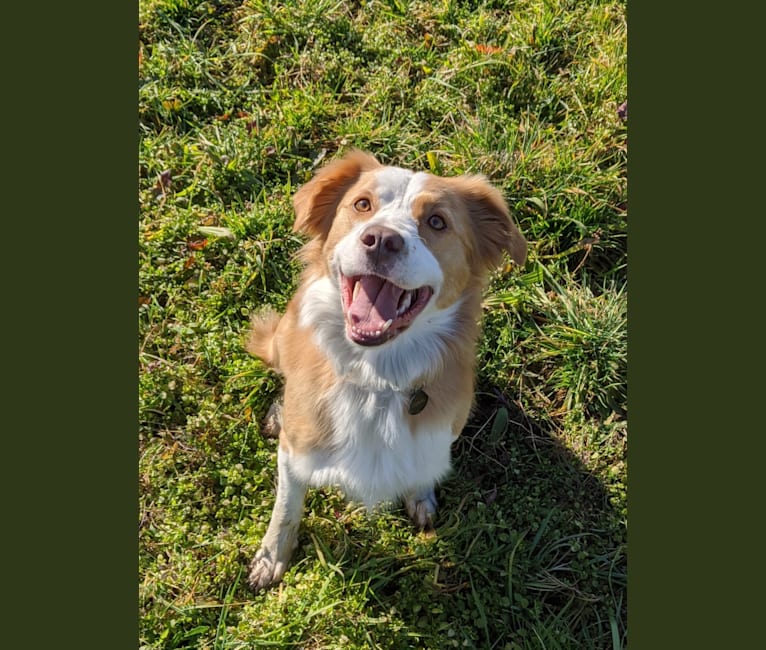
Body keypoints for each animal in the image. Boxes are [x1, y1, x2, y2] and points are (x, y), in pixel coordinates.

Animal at [248, 149, 528, 588]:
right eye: (362, 204)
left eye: (437, 222)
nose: (381, 239)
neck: (376, 377)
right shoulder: (295, 453)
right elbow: (286, 507)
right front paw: (272, 555)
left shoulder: (437, 433)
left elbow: (421, 469)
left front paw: (421, 496)